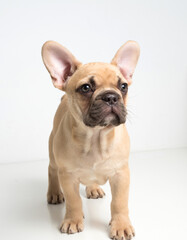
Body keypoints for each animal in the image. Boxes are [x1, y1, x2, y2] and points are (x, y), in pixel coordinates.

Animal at [41, 40, 140, 239]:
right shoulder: (68, 176)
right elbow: (73, 201)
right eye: (86, 88)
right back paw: (54, 193)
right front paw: (73, 220)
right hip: (53, 155)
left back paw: (93, 188)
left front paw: (121, 225)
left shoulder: (121, 175)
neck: (95, 137)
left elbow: (119, 202)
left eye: (123, 86)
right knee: (51, 170)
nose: (111, 96)